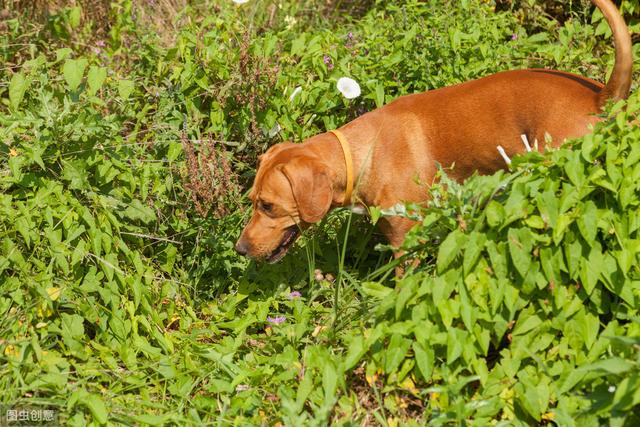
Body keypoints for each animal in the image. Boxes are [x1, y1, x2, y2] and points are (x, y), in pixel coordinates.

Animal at [234, 0, 632, 264]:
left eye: (268, 206)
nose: (239, 249)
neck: (361, 153)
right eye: (252, 201)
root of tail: (600, 96)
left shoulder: (404, 242)